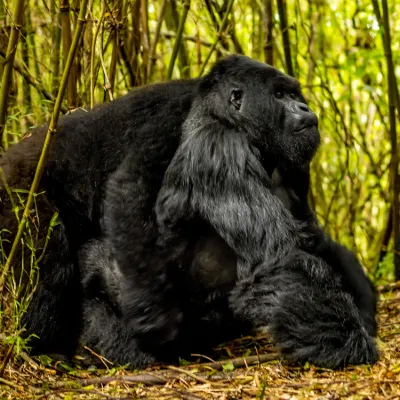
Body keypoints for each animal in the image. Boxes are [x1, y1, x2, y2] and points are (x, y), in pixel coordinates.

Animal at [0, 55, 378, 368]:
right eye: (280, 95)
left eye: (294, 94)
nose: (304, 106)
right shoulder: (213, 144)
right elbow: (280, 256)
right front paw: (343, 345)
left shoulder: (292, 169)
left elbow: (311, 239)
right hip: (21, 193)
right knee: (53, 260)